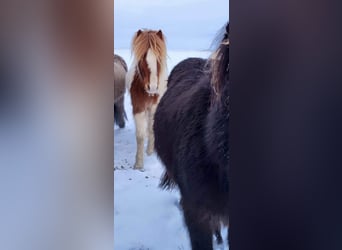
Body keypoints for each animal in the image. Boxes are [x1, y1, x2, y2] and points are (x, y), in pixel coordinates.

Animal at [126, 29, 168, 170]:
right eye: (142, 57)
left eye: (159, 58)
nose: (153, 87)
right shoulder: (138, 107)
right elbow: (140, 135)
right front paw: (138, 163)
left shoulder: (154, 107)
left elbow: (151, 128)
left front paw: (150, 151)